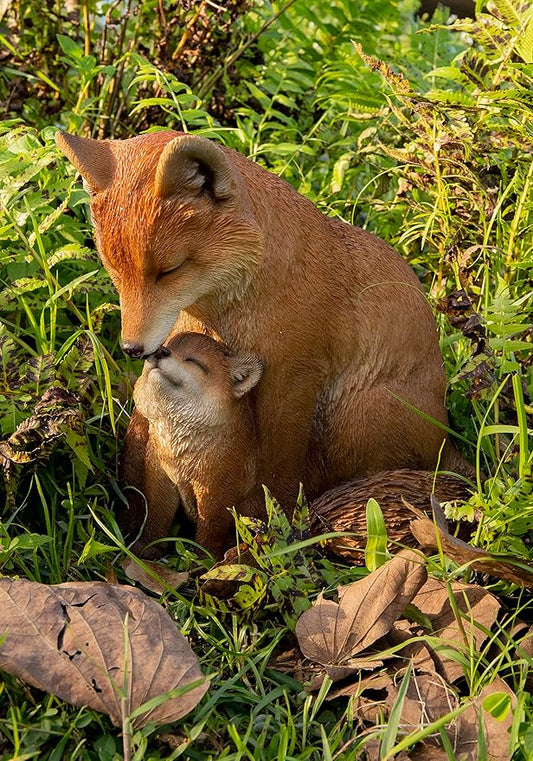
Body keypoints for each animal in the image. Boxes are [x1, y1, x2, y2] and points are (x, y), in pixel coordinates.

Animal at [128, 331, 264, 558]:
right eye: (166, 345)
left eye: (193, 361)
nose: (160, 352)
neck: (180, 461)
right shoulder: (160, 478)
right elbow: (157, 517)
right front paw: (149, 548)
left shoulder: (216, 490)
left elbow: (210, 531)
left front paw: (203, 560)